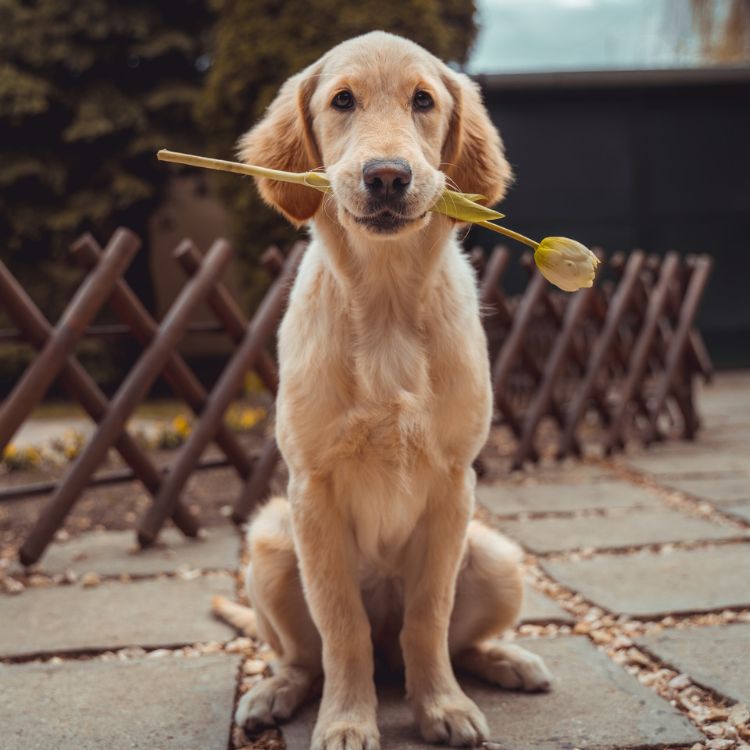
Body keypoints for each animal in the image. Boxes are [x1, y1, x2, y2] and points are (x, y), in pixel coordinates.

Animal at [214, 32, 556, 750]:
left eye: (423, 101)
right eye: (342, 100)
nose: (389, 176)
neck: (388, 303)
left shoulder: (454, 485)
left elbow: (429, 616)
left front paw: (442, 708)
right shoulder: (311, 490)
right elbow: (342, 628)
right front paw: (347, 721)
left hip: (496, 555)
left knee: (451, 643)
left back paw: (507, 661)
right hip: (271, 544)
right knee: (305, 656)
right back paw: (273, 693)